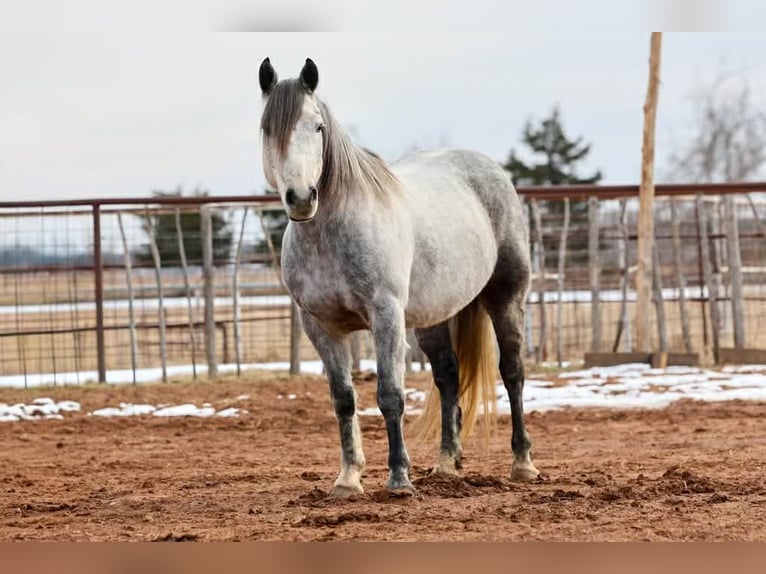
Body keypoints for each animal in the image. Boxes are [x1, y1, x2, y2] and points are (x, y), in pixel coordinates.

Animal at [258, 57, 539, 498]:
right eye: (268, 129)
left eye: (318, 127)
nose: (301, 198)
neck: (331, 235)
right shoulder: (319, 325)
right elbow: (344, 400)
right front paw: (348, 478)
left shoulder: (385, 315)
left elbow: (390, 395)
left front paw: (399, 478)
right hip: (435, 315)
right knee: (447, 377)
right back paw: (447, 464)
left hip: (506, 297)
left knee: (512, 372)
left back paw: (522, 462)